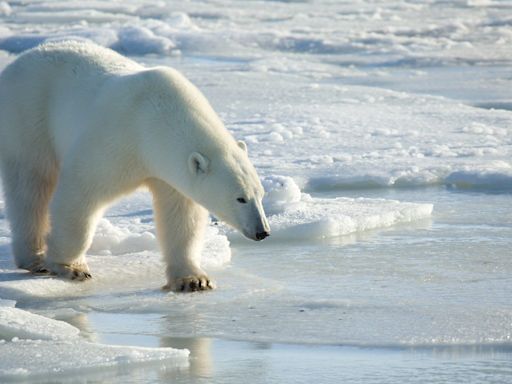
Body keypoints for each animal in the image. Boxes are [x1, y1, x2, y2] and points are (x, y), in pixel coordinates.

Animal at [0, 41, 270, 292]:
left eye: (260, 195)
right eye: (240, 198)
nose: (262, 232)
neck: (153, 121)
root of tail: (20, 60)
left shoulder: (169, 171)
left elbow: (181, 216)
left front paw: (193, 279)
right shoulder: (116, 140)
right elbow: (81, 192)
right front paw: (71, 267)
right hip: (28, 116)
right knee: (31, 186)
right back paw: (35, 259)